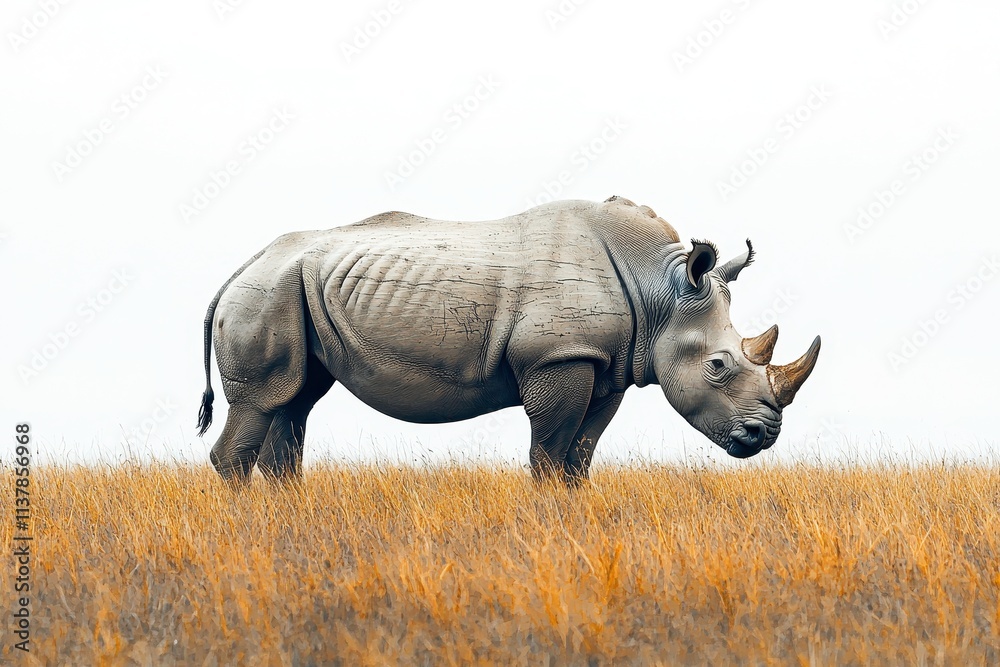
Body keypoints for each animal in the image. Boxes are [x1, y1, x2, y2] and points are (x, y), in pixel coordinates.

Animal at [196, 196, 820, 484]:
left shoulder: (609, 364)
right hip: (264, 292)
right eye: (718, 365)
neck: (658, 294)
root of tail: (237, 268)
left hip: (289, 288)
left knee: (294, 400)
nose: (763, 437)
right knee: (264, 402)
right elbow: (549, 451)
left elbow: (580, 456)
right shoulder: (557, 358)